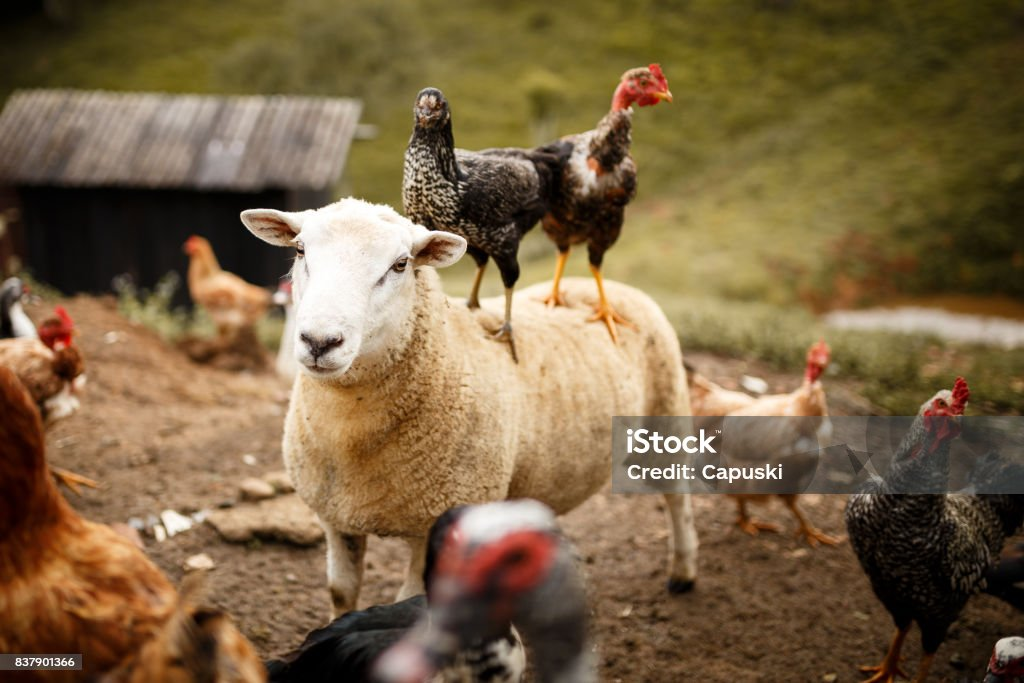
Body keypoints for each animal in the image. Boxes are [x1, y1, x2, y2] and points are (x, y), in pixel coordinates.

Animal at [240, 197, 699, 617]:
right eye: (300, 250)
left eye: (401, 264)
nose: (320, 341)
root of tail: (607, 287)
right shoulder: (336, 518)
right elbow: (341, 593)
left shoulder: (437, 523)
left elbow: (408, 602)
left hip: (666, 414)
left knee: (677, 496)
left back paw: (683, 571)